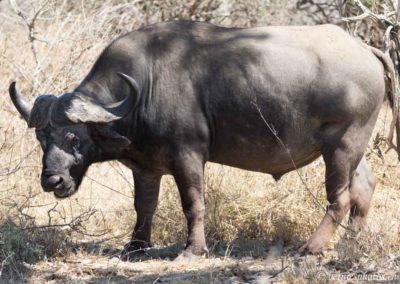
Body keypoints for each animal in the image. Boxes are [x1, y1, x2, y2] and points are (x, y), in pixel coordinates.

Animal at [7, 21, 398, 258]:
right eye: (42, 137)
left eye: (73, 136)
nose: (52, 180)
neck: (144, 85)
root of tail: (365, 49)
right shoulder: (145, 167)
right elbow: (144, 206)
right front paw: (135, 248)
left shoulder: (189, 155)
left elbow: (193, 203)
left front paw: (193, 249)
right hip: (354, 148)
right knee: (364, 189)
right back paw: (349, 247)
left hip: (341, 146)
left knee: (340, 198)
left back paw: (312, 247)